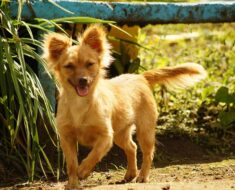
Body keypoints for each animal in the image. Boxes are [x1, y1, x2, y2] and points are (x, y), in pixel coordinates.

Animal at [43, 24, 207, 189]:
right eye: (69, 66)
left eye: (90, 64)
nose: (83, 80)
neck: (80, 104)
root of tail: (140, 77)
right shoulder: (67, 138)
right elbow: (71, 164)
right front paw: (72, 183)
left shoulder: (106, 137)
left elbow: (94, 154)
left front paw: (83, 170)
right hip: (121, 134)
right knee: (132, 147)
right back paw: (130, 174)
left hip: (144, 131)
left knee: (148, 153)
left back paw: (142, 176)